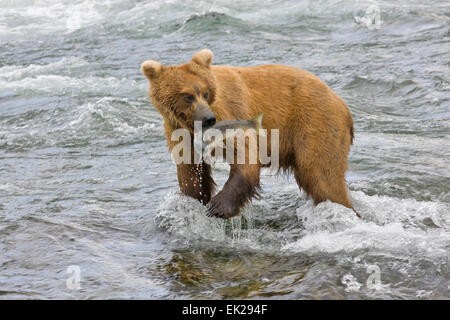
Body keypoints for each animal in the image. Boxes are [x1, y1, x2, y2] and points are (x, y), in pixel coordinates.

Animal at [142, 48, 356, 219]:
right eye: (187, 96)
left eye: (205, 92)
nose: (208, 119)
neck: (192, 126)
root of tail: (342, 104)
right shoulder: (178, 132)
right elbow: (190, 169)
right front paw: (194, 199)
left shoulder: (230, 113)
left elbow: (245, 154)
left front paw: (218, 207)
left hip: (315, 124)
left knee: (322, 175)